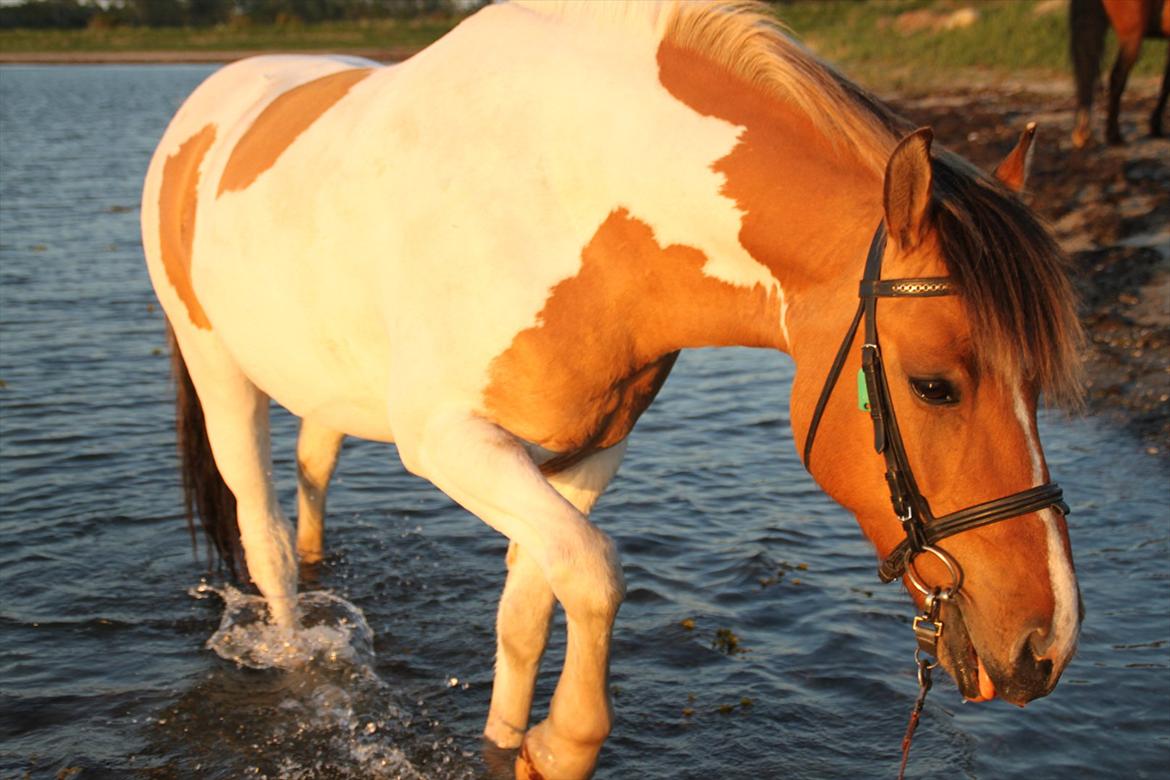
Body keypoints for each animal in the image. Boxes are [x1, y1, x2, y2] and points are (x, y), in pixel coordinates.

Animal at [141, 3, 1081, 776]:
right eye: (934, 386)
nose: (1047, 643)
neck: (565, 195)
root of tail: (206, 104)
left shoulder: (592, 449)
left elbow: (530, 607)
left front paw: (513, 743)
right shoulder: (449, 440)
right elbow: (593, 574)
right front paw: (563, 742)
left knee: (314, 465)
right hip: (221, 375)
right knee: (263, 537)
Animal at [1071, 0, 1170, 146]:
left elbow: (1166, 84)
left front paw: (1155, 127)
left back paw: (1083, 134)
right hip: (1131, 39)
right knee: (1117, 78)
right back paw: (1114, 136)